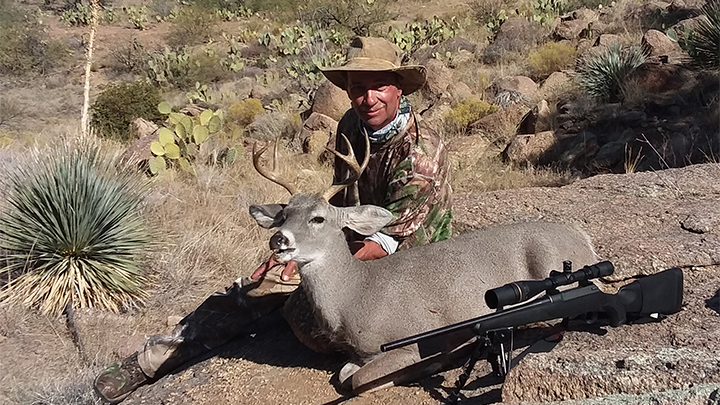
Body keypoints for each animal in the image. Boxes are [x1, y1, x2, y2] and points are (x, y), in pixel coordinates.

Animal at [250, 135, 600, 394]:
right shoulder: (359, 352)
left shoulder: (408, 342)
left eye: (318, 218)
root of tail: (583, 238)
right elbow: (345, 373)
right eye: (283, 215)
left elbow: (356, 380)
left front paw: (433, 364)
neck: (355, 293)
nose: (278, 240)